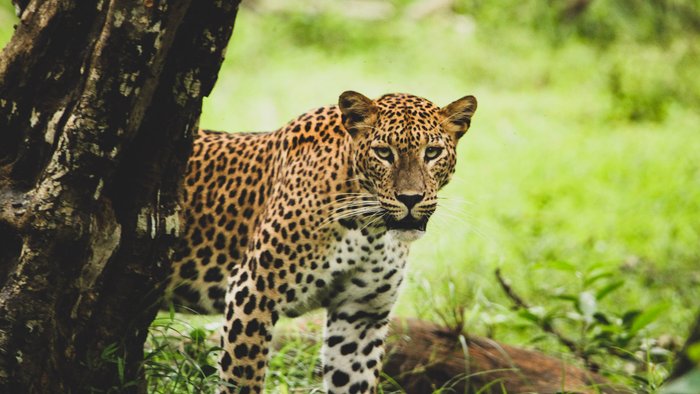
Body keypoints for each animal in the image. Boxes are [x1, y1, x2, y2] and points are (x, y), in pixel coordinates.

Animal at [167, 91, 478, 392]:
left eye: (432, 152)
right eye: (383, 152)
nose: (410, 198)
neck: (369, 229)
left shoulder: (361, 314)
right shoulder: (252, 293)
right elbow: (243, 380)